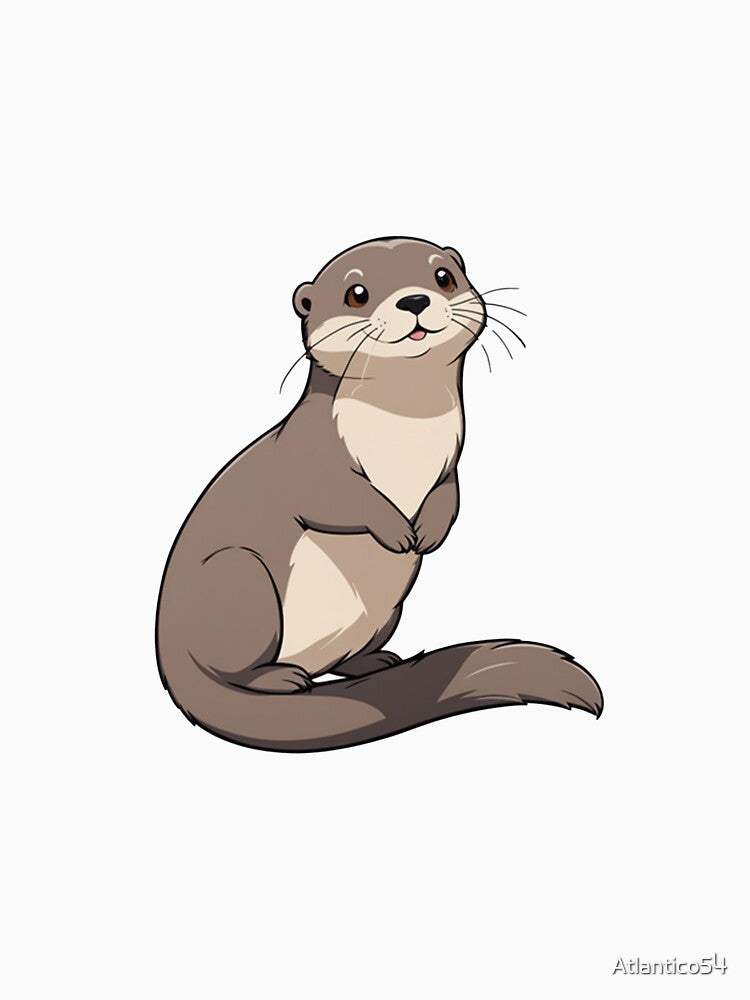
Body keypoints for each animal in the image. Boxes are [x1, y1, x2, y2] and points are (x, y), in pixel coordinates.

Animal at [156, 236, 602, 752]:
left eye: (443, 276)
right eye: (357, 292)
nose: (414, 300)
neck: (404, 439)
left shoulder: (450, 465)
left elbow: (449, 496)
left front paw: (427, 532)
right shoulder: (306, 458)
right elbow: (336, 500)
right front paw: (396, 530)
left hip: (388, 612)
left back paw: (374, 661)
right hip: (238, 577)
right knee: (236, 665)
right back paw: (279, 678)